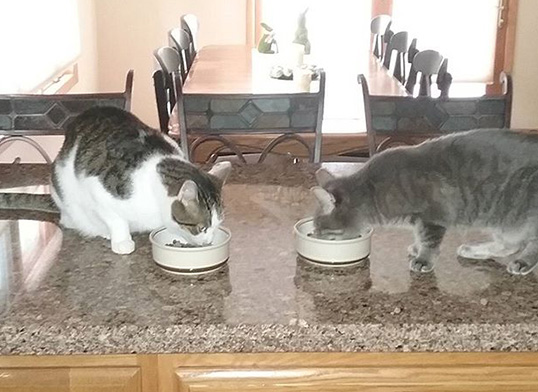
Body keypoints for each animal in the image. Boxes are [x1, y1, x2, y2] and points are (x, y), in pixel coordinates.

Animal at [0, 107, 228, 254]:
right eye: (202, 228)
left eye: (217, 225)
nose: (208, 241)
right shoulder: (99, 191)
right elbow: (116, 219)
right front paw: (122, 241)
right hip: (65, 188)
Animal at [310, 129, 536, 276]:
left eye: (320, 228)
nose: (315, 236)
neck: (372, 190)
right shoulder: (419, 220)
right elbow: (420, 236)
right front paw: (417, 248)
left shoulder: (433, 215)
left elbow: (429, 241)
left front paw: (423, 259)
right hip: (504, 223)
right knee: (511, 245)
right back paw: (473, 250)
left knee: (529, 246)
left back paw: (522, 262)